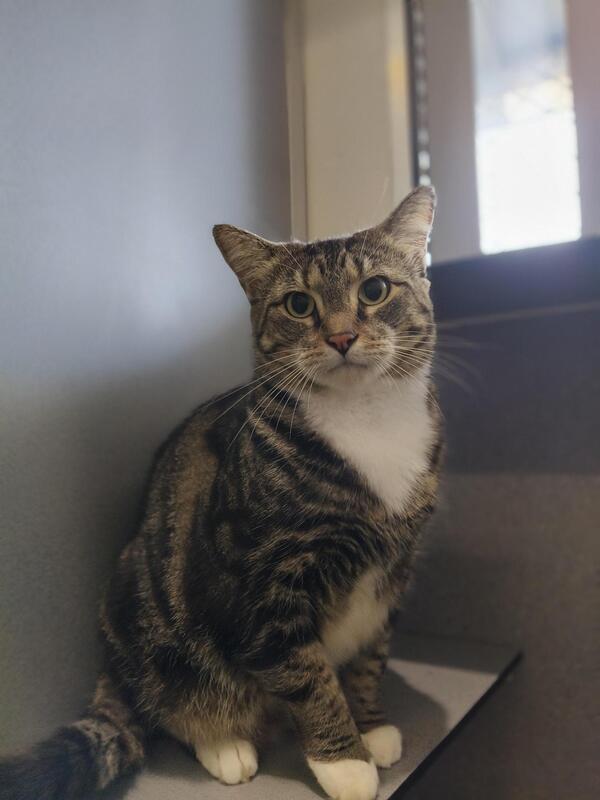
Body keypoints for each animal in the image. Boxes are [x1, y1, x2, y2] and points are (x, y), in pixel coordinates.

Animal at [0, 185, 443, 800]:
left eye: (375, 290)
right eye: (299, 305)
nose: (341, 337)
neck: (367, 421)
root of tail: (111, 674)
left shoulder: (392, 574)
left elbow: (368, 659)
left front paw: (370, 726)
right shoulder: (265, 584)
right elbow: (308, 677)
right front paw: (344, 761)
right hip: (149, 619)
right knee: (175, 703)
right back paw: (224, 744)